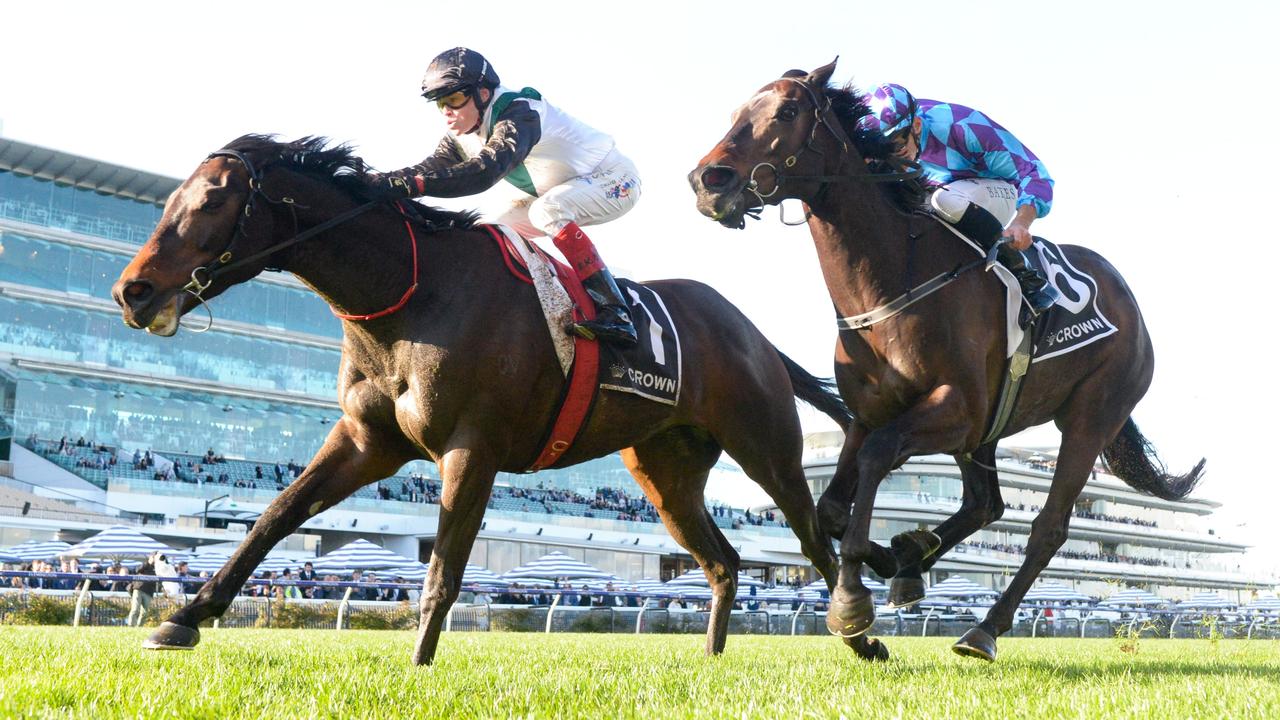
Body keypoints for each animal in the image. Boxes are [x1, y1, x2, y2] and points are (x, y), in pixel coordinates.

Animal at [110, 133, 880, 661]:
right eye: (173, 199)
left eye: (212, 200)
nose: (132, 291)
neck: (411, 294)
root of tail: (749, 330)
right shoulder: (367, 442)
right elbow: (273, 517)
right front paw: (183, 618)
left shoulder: (470, 448)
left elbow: (444, 568)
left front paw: (419, 665)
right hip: (666, 476)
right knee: (724, 560)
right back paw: (715, 657)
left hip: (766, 447)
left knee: (813, 536)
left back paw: (862, 635)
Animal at [691, 58, 1198, 661]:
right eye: (736, 112)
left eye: (788, 111)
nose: (708, 180)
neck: (892, 279)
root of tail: (1129, 301)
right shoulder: (875, 411)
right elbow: (832, 507)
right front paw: (893, 559)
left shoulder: (955, 407)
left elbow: (876, 461)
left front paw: (852, 599)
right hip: (989, 430)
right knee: (986, 505)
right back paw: (916, 558)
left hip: (1090, 414)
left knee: (1047, 527)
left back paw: (984, 629)